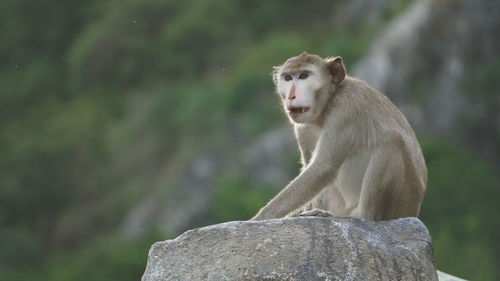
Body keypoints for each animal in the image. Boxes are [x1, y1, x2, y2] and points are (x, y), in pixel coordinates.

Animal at [252, 51, 428, 220]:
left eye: (304, 76)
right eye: (288, 78)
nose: (291, 96)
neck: (327, 104)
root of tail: (415, 210)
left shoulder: (347, 108)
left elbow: (323, 168)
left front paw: (260, 218)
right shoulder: (302, 128)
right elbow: (311, 166)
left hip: (404, 201)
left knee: (392, 139)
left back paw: (364, 215)